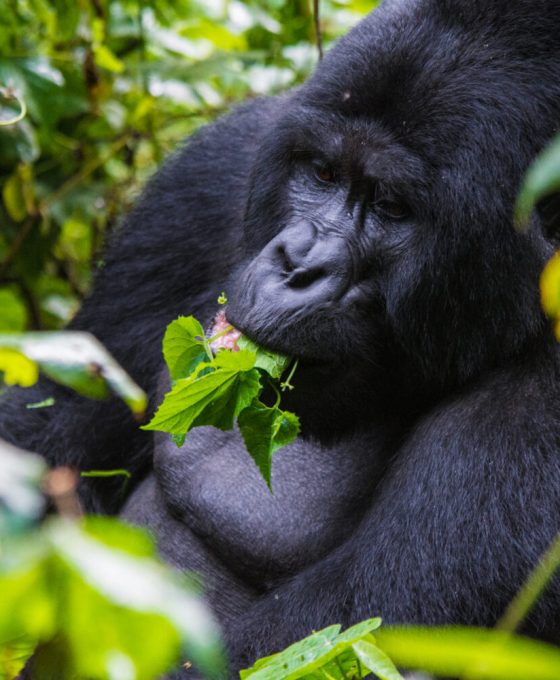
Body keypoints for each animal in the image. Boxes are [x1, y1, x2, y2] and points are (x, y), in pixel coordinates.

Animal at [3, 0, 560, 676]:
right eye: (321, 172)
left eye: (392, 206)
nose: (297, 265)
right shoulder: (216, 172)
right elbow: (53, 416)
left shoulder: (546, 396)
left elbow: (337, 630)